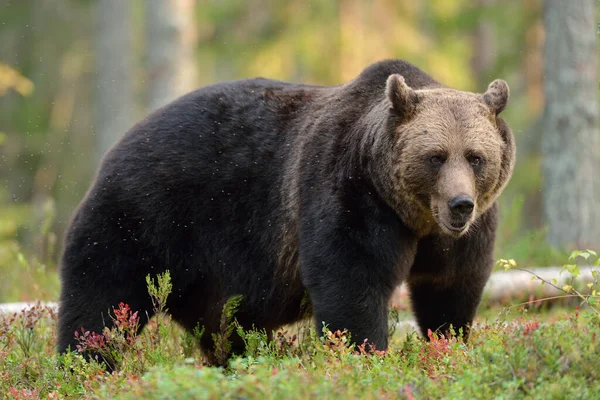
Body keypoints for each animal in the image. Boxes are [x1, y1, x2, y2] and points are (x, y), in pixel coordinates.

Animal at [58, 59, 512, 366]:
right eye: (436, 156)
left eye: (475, 157)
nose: (459, 204)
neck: (411, 213)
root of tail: (123, 140)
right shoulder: (349, 193)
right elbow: (352, 283)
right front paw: (364, 356)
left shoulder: (462, 234)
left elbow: (450, 288)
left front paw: (447, 345)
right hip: (146, 214)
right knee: (102, 300)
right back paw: (82, 365)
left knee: (226, 331)